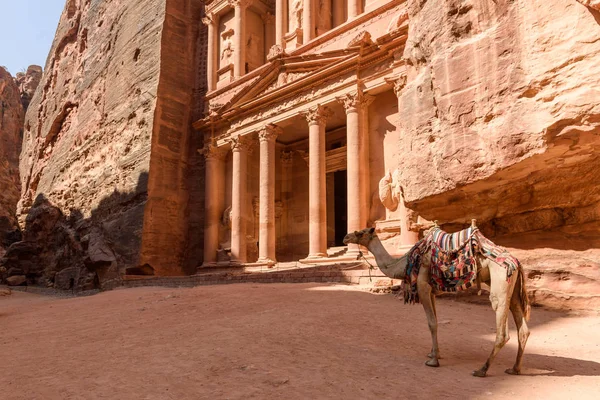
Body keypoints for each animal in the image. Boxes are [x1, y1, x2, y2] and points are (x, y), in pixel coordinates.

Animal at [344, 227, 532, 376]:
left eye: (360, 232)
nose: (346, 237)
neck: (405, 262)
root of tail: (516, 262)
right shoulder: (433, 292)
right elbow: (435, 322)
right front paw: (434, 353)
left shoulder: (422, 287)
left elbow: (431, 323)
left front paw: (433, 361)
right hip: (513, 288)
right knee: (522, 327)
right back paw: (514, 369)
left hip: (500, 281)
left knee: (502, 328)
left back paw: (482, 370)